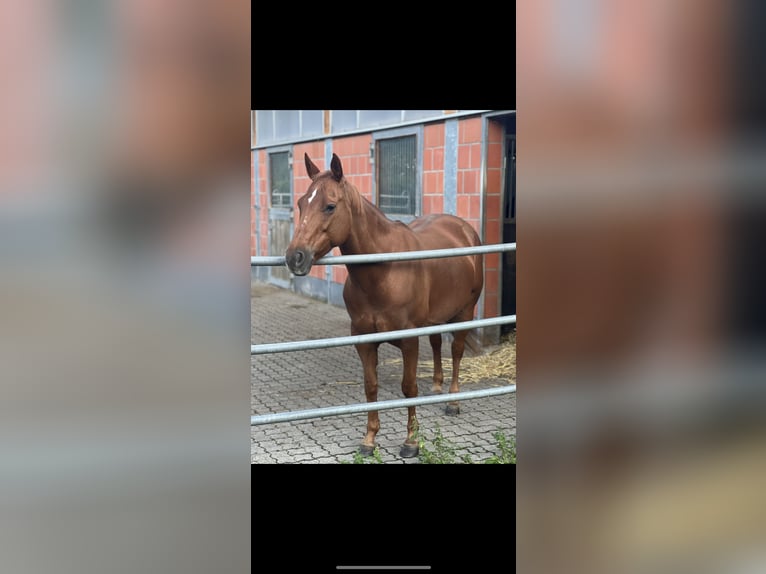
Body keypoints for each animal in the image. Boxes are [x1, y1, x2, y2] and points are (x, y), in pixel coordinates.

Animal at [285, 153, 483, 458]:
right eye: (300, 204)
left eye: (330, 206)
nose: (295, 257)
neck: (384, 271)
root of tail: (464, 228)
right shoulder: (364, 340)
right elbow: (371, 387)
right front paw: (369, 440)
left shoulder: (409, 340)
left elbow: (409, 387)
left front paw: (411, 441)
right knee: (437, 344)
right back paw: (437, 386)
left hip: (465, 313)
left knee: (457, 351)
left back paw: (453, 401)